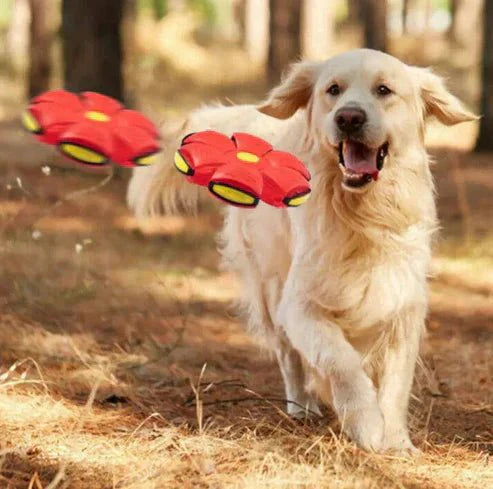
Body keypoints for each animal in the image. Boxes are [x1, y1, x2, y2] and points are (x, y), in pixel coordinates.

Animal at [129, 47, 474, 452]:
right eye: (333, 90)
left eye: (384, 90)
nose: (349, 117)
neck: (361, 214)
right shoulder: (300, 304)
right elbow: (341, 360)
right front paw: (366, 423)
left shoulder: (402, 305)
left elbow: (395, 383)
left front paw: (396, 441)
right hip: (270, 286)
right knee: (288, 354)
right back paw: (301, 406)